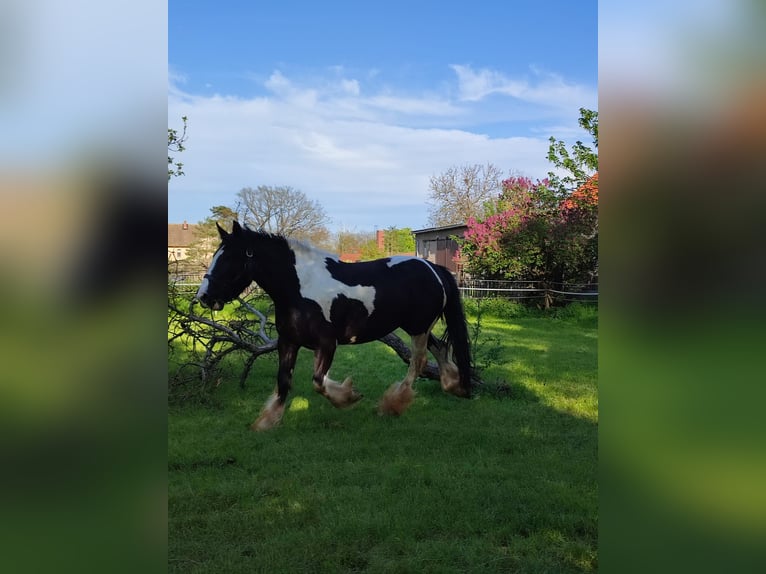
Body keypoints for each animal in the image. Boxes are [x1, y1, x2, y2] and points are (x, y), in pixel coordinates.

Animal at [195, 221, 472, 431]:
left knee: (418, 362)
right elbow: (283, 381)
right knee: (441, 349)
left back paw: (392, 405)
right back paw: (454, 386)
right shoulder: (288, 342)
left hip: (418, 328)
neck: (300, 288)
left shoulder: (327, 344)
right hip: (417, 326)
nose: (204, 296)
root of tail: (433, 268)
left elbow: (319, 381)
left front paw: (349, 396)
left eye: (228, 259)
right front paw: (266, 422)